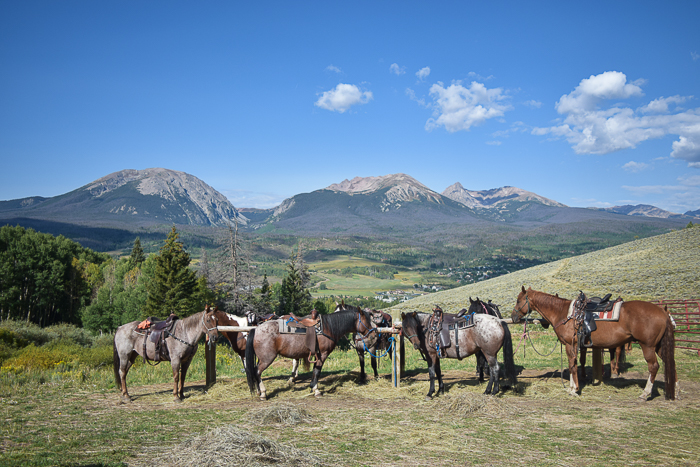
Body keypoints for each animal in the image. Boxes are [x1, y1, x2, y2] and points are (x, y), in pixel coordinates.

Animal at [245, 308, 378, 400]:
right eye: (366, 321)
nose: (374, 335)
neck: (328, 328)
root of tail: (256, 329)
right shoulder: (322, 354)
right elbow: (317, 371)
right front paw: (316, 390)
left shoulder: (317, 355)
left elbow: (315, 371)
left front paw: (313, 388)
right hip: (267, 358)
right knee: (257, 372)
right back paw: (263, 393)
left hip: (261, 358)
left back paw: (258, 391)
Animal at [508, 288, 680, 400]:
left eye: (518, 300)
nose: (514, 317)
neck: (564, 313)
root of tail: (663, 312)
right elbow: (574, 364)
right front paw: (573, 387)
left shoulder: (570, 345)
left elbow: (572, 365)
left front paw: (574, 389)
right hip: (659, 346)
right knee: (670, 362)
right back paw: (676, 390)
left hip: (648, 346)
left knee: (654, 367)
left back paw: (645, 393)